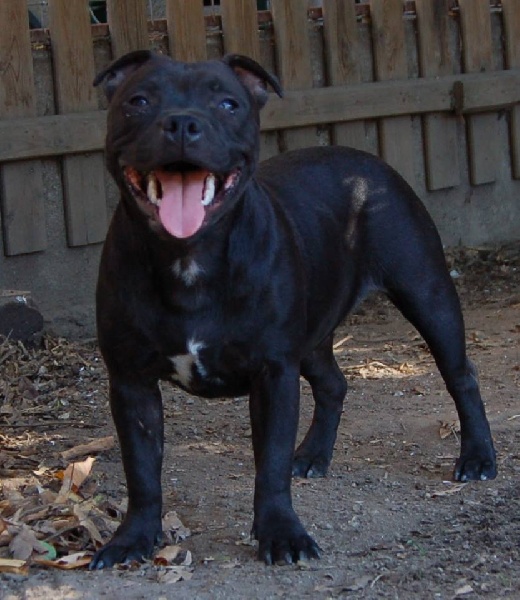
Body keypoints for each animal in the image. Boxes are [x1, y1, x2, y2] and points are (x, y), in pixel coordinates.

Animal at [89, 50, 496, 569]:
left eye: (227, 103)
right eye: (139, 101)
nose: (182, 122)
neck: (190, 256)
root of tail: (366, 161)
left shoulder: (274, 373)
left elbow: (271, 464)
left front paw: (281, 533)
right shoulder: (131, 382)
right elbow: (141, 470)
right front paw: (133, 538)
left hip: (428, 296)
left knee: (461, 375)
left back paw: (478, 457)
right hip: (313, 337)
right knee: (333, 384)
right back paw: (314, 454)